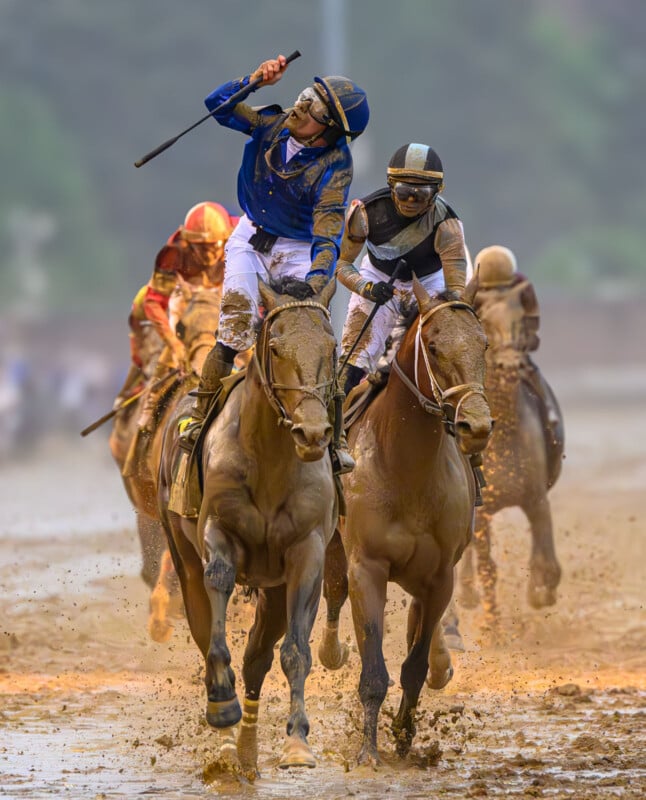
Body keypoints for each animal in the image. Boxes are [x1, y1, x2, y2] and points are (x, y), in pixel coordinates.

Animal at [158, 277, 338, 777]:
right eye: (275, 347)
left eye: (332, 346)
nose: (312, 434)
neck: (271, 460)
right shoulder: (218, 531)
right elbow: (217, 598)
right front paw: (222, 704)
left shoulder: (307, 551)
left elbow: (295, 651)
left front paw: (297, 741)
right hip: (181, 553)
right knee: (204, 626)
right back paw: (225, 730)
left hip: (273, 588)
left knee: (259, 656)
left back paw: (247, 749)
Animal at [318, 278, 492, 766]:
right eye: (433, 347)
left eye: (484, 344)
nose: (476, 426)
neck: (407, 467)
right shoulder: (367, 567)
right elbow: (373, 667)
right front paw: (368, 752)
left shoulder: (440, 576)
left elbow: (413, 665)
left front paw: (403, 733)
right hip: (336, 553)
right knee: (333, 598)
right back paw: (331, 650)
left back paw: (440, 665)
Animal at [457, 278, 565, 630]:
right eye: (487, 323)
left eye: (520, 321)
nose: (510, 363)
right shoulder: (482, 510)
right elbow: (486, 566)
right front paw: (491, 625)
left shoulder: (536, 497)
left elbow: (547, 563)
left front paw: (540, 592)